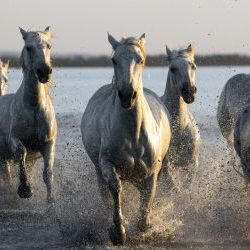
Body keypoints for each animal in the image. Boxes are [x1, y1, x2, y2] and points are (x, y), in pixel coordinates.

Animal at [0, 27, 56, 203]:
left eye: (48, 45)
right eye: (28, 47)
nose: (44, 71)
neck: (34, 109)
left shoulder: (48, 144)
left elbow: (48, 173)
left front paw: (51, 202)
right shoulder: (14, 140)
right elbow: (21, 153)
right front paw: (25, 190)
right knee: (7, 176)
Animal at [81, 34, 171, 245]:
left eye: (141, 60)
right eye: (114, 60)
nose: (127, 95)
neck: (132, 135)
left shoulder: (152, 172)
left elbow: (146, 205)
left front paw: (144, 226)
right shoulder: (107, 163)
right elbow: (115, 189)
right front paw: (118, 231)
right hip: (99, 170)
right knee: (106, 193)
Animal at [161, 45, 200, 190]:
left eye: (193, 66)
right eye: (172, 68)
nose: (189, 91)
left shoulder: (192, 163)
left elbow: (187, 186)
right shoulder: (165, 166)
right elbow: (173, 186)